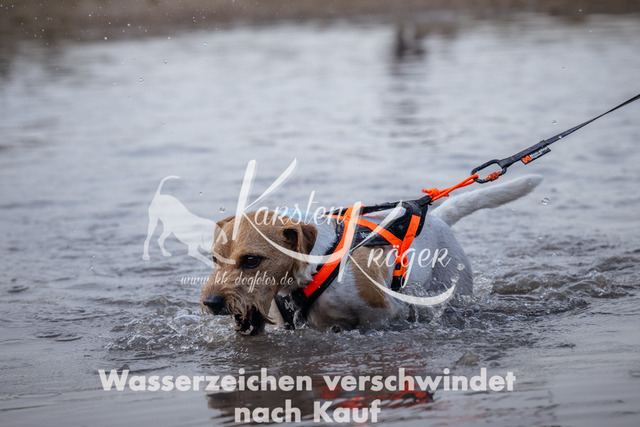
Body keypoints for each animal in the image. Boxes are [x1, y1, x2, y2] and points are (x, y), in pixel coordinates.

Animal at [200, 175, 542, 335]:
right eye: (214, 259)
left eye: (251, 260)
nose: (211, 302)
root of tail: (440, 217)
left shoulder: (381, 313)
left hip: (454, 290)